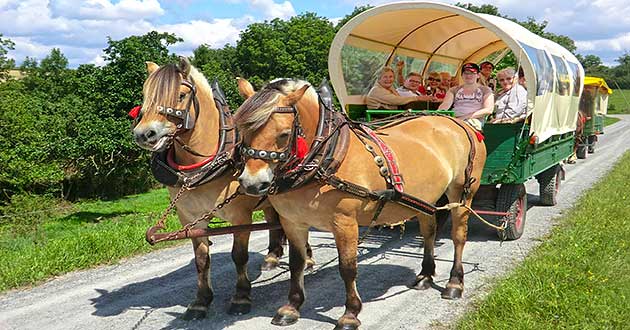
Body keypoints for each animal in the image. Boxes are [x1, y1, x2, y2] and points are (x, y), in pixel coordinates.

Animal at [133, 58, 314, 320]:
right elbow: (201, 259)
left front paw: (241, 297)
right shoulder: (190, 218)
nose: (144, 134)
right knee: (274, 220)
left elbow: (239, 256)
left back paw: (307, 259)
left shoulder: (240, 216)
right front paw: (201, 301)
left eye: (181, 95)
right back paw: (272, 257)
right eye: (146, 95)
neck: (199, 167)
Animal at [237, 78, 488, 328]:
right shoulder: (292, 222)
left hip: (461, 194)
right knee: (429, 231)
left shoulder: (345, 222)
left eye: (283, 134)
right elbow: (297, 263)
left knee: (458, 236)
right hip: (427, 197)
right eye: (242, 132)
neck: (324, 157)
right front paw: (291, 307)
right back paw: (425, 275)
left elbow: (348, 268)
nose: (252, 183)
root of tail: (461, 123)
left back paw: (454, 283)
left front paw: (350, 313)